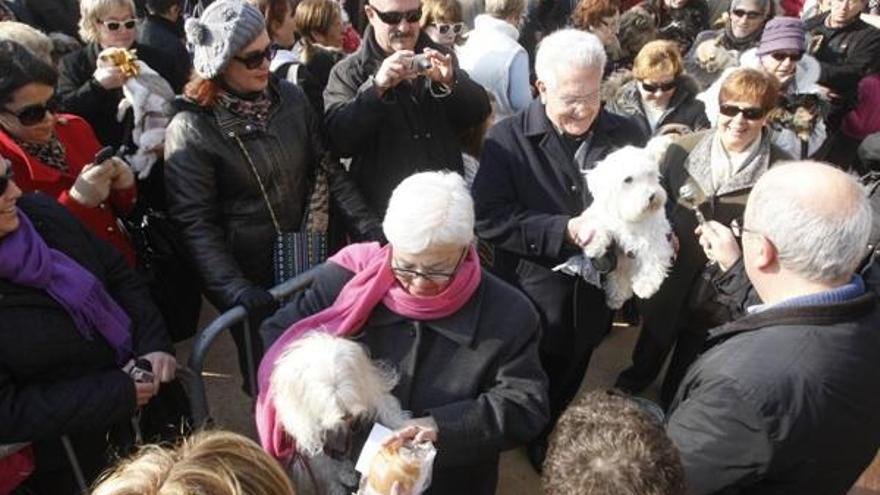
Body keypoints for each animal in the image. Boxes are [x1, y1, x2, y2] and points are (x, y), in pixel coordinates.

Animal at [272, 334, 410, 495]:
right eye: (325, 401)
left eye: (348, 393)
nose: (346, 415)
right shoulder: (307, 431)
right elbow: (322, 463)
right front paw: (335, 487)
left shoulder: (369, 385)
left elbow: (385, 404)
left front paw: (405, 425)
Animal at [580, 141, 676, 310]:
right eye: (628, 179)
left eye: (650, 174)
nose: (652, 195)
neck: (626, 215)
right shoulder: (602, 215)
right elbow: (594, 223)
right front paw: (593, 244)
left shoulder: (655, 237)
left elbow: (653, 258)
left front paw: (645, 285)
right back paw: (616, 297)